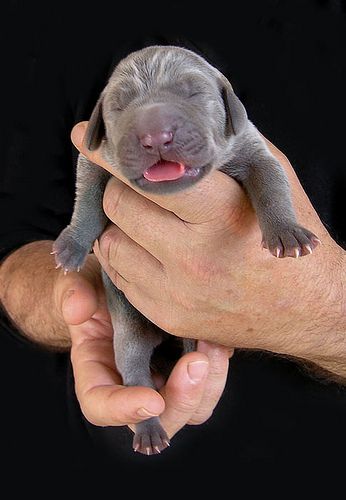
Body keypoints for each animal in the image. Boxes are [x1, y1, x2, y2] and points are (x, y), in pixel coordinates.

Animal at [52, 45, 320, 456]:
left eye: (193, 92)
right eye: (120, 103)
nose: (156, 136)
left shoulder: (253, 148)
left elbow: (271, 181)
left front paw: (287, 232)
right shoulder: (94, 159)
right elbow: (87, 200)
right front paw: (73, 244)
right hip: (128, 331)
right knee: (134, 367)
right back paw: (148, 427)